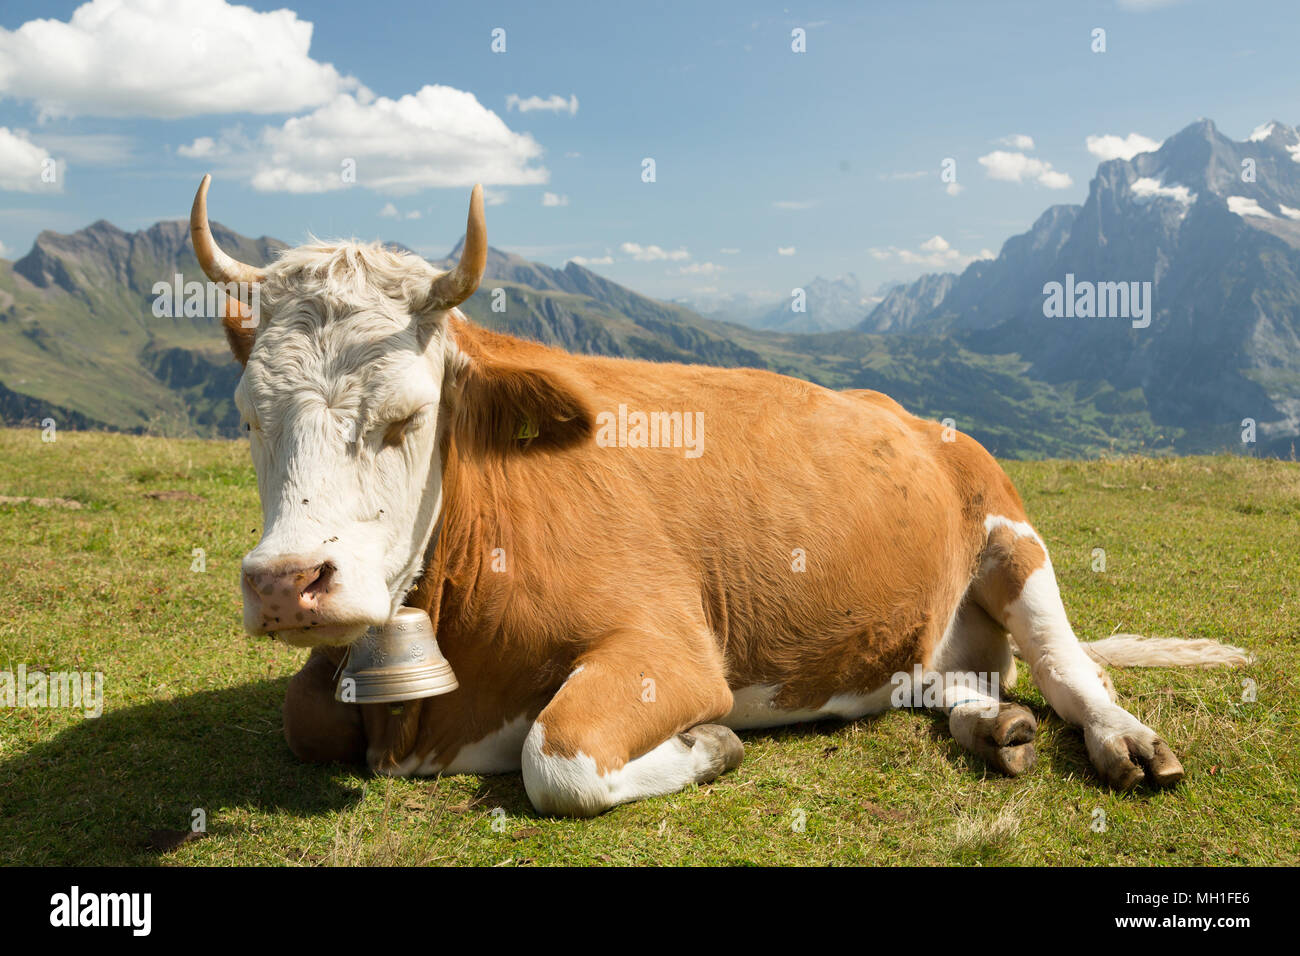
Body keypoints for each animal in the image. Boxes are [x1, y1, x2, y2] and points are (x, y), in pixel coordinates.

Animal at [189, 178, 1248, 816]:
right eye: (247, 417)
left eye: (408, 417)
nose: (287, 583)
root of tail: (907, 413)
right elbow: (304, 715)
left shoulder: (668, 649)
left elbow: (555, 758)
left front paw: (711, 745)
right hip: (907, 635)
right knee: (952, 679)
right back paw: (994, 726)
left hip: (1013, 535)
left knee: (1070, 669)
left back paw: (1123, 740)